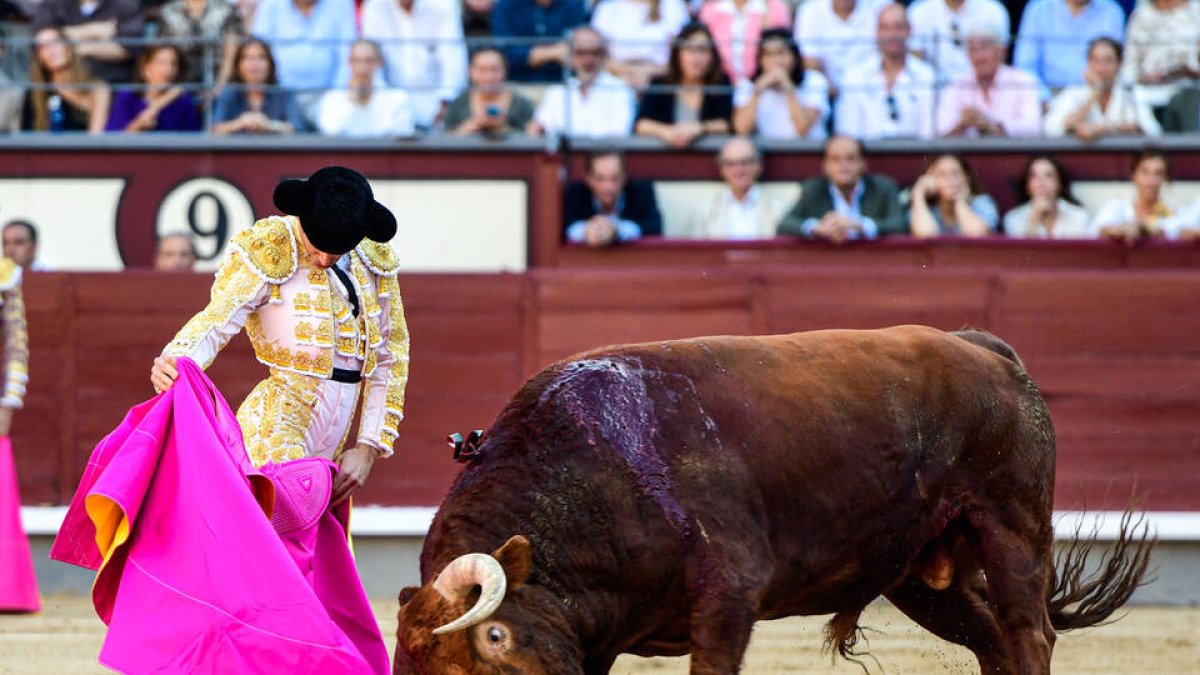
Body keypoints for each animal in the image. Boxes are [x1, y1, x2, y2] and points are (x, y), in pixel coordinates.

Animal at [393, 324, 1152, 667]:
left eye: (493, 635)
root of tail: (984, 348)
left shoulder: (730, 596)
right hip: (917, 574)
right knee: (990, 639)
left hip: (1013, 526)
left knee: (1027, 631)